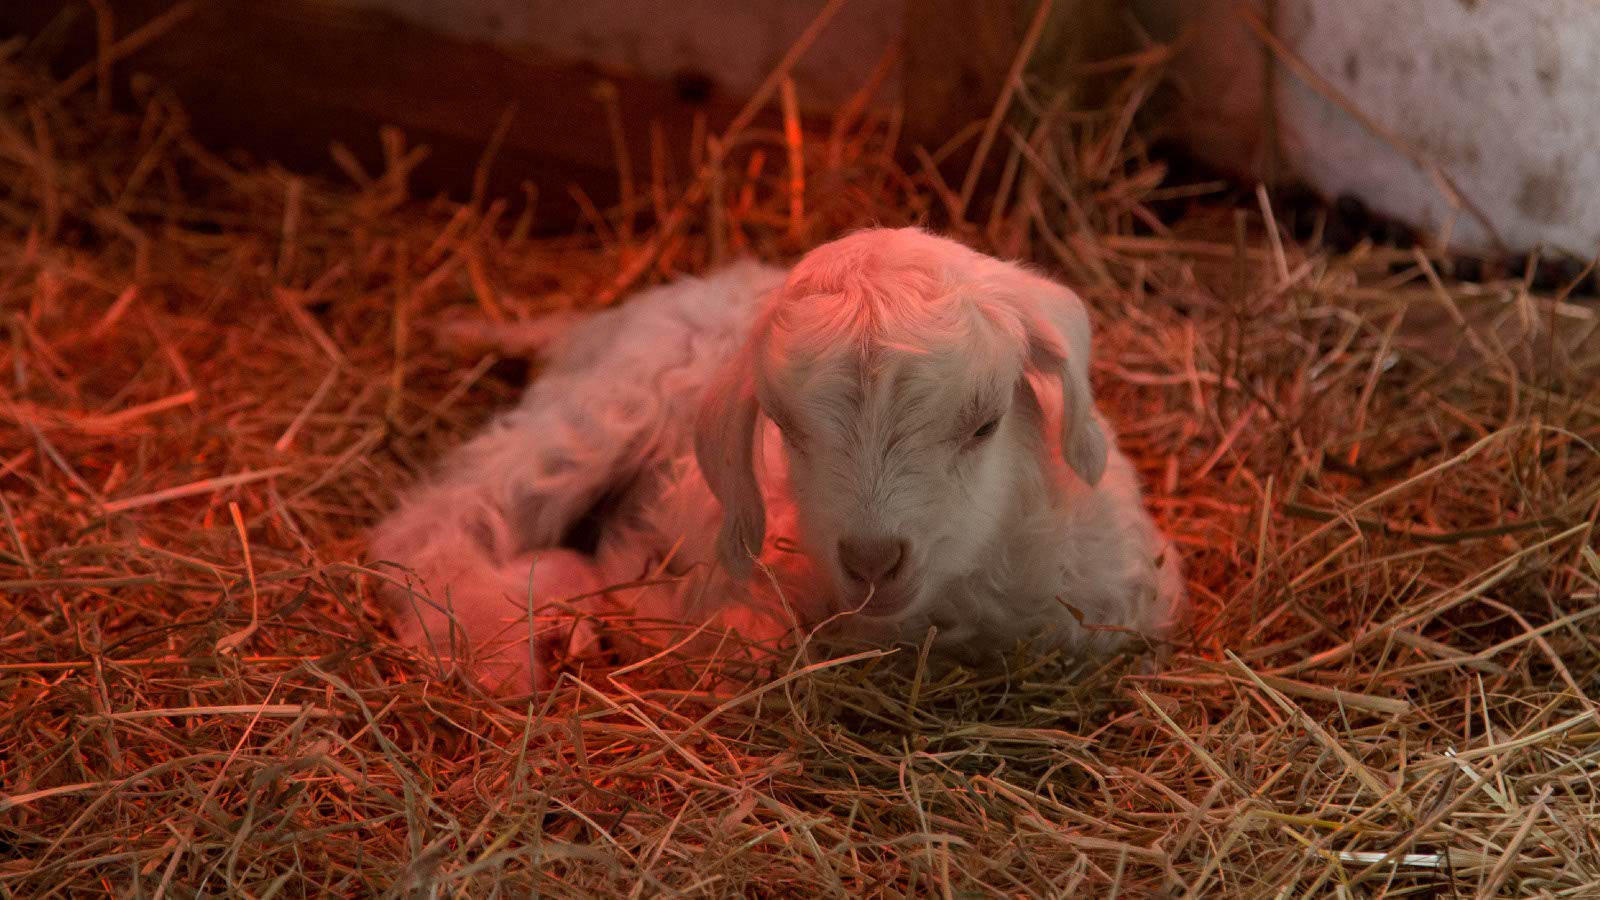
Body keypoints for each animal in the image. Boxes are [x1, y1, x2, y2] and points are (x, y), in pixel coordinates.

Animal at [368, 225, 1184, 685]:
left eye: (985, 425)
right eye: (785, 428)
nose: (874, 560)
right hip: (606, 406)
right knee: (429, 523)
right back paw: (502, 654)